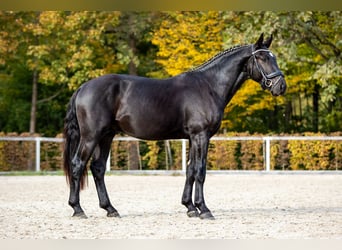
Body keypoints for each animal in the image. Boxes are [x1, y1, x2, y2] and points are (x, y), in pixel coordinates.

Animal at [63, 32, 286, 219]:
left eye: (273, 57)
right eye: (262, 58)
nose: (281, 86)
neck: (209, 86)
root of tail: (83, 87)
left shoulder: (193, 138)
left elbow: (190, 170)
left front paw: (190, 207)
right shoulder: (201, 135)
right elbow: (200, 170)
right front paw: (204, 209)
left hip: (106, 136)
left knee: (98, 168)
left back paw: (110, 209)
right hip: (91, 136)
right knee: (78, 164)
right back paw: (78, 209)